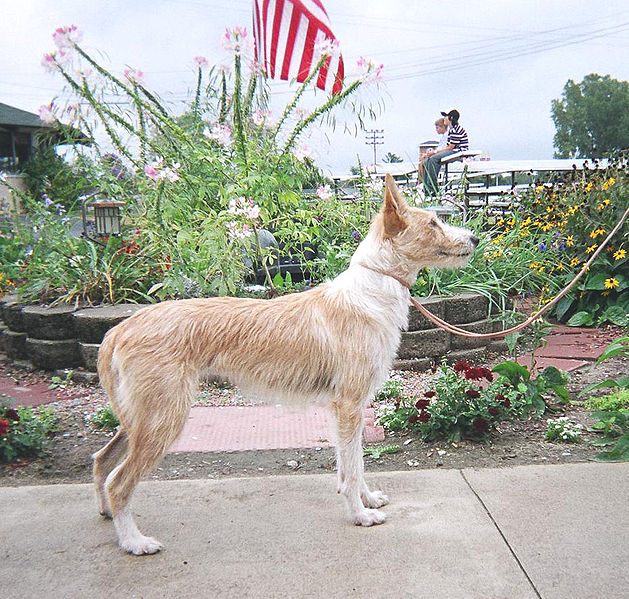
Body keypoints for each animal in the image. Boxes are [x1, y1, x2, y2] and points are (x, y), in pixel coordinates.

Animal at [93, 175, 476, 556]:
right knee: (119, 481)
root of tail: (119, 330)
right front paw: (360, 515)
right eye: (433, 223)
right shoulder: (349, 404)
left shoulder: (344, 409)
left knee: (102, 461)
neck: (372, 289)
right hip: (163, 417)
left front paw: (366, 499)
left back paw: (108, 514)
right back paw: (134, 541)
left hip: (140, 418)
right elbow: (353, 467)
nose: (473, 238)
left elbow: (352, 462)